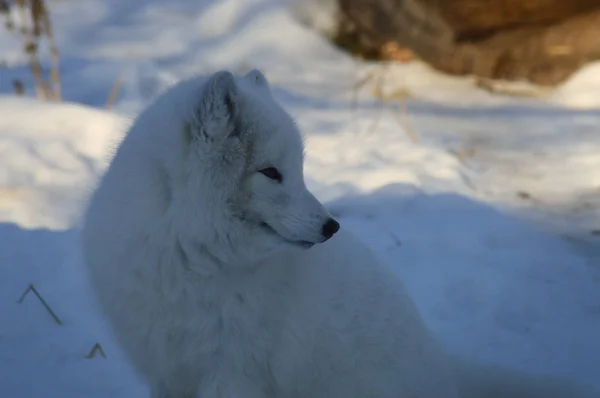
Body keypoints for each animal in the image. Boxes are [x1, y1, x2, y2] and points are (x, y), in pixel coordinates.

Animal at [82, 70, 596, 396]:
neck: (188, 259)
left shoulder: (233, 376)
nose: (332, 227)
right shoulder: (167, 372)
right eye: (271, 173)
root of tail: (445, 370)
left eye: (298, 169)